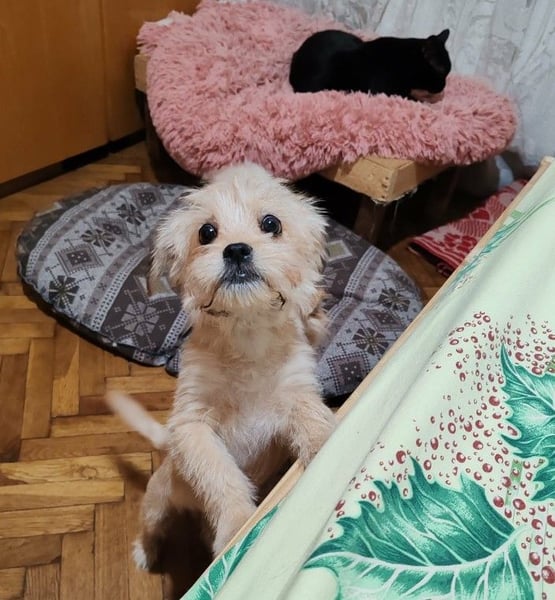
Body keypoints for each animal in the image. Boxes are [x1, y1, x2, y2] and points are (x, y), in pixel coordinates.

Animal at [107, 162, 336, 568]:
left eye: (271, 223)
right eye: (207, 232)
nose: (237, 250)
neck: (247, 339)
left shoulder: (298, 396)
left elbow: (315, 421)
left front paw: (330, 445)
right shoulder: (192, 426)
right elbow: (221, 476)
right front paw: (238, 526)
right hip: (156, 500)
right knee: (151, 527)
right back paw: (145, 553)